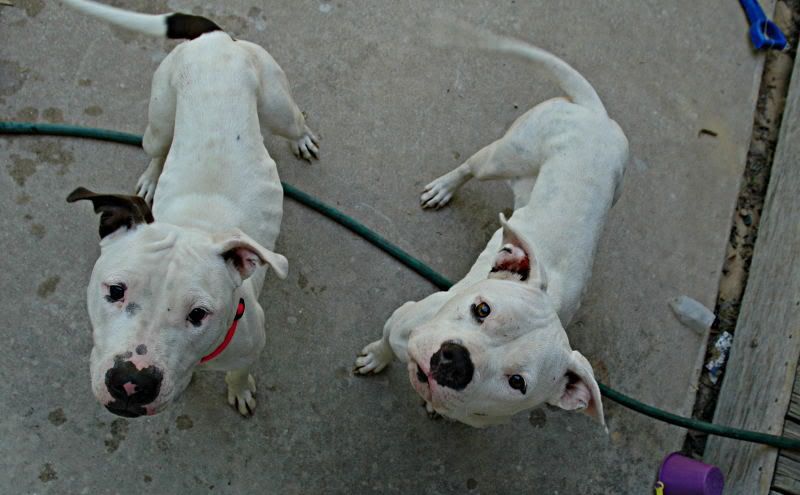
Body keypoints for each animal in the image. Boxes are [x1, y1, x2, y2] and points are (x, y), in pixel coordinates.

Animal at [63, 0, 318, 418]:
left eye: (198, 314)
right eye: (115, 291)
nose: (131, 382)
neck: (196, 225)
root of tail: (213, 38)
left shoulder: (250, 347)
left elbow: (238, 372)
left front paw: (239, 389)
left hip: (277, 106)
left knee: (294, 123)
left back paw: (303, 139)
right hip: (158, 121)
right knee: (157, 149)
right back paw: (151, 178)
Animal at [354, 25, 628, 430]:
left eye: (517, 382)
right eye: (482, 310)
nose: (454, 360)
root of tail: (594, 113)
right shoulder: (401, 320)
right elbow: (385, 344)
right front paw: (375, 358)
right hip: (501, 157)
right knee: (470, 167)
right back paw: (443, 188)